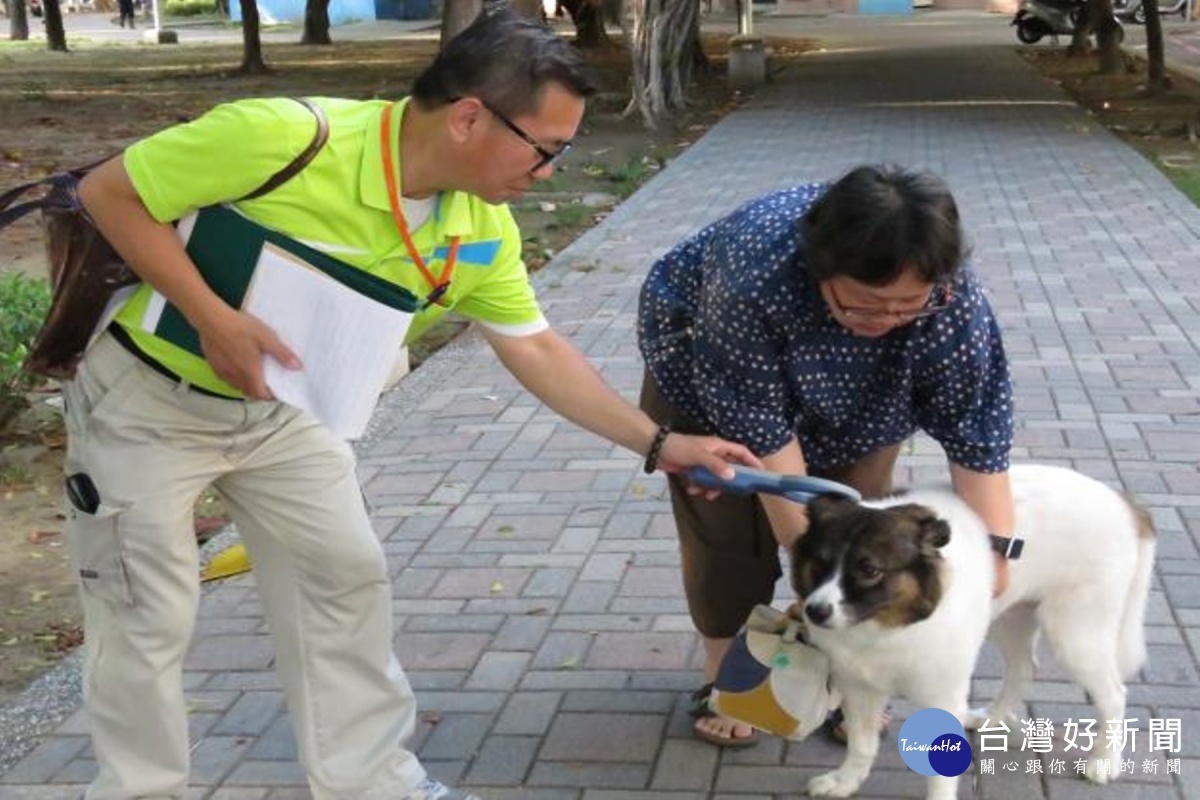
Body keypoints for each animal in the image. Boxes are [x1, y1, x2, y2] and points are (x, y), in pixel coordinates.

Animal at [792, 462, 1156, 800]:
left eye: (869, 570)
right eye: (820, 564)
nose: (815, 611)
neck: (888, 627)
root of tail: (1124, 503)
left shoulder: (942, 694)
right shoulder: (858, 688)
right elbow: (861, 744)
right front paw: (846, 780)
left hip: (1074, 634)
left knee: (1113, 694)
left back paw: (1104, 761)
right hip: (1009, 618)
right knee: (1024, 669)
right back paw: (991, 719)